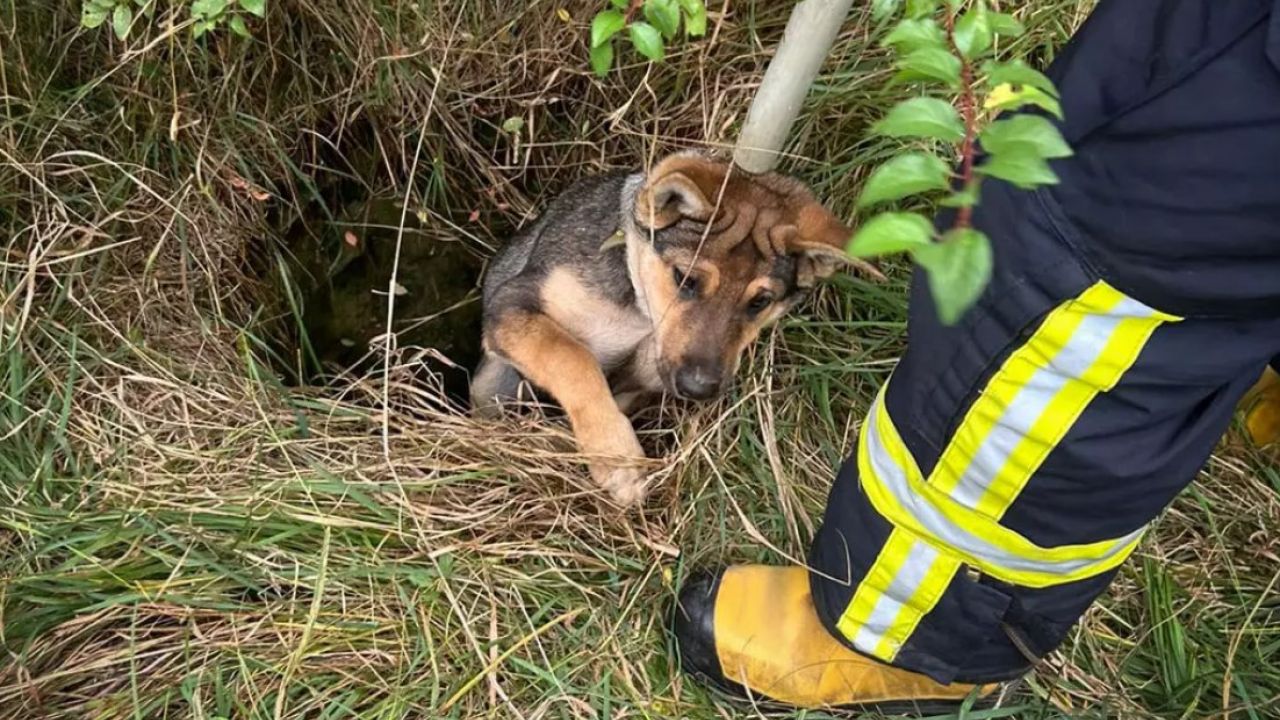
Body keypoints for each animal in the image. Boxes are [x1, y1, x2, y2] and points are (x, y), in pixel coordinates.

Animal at [473, 149, 870, 504]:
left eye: (760, 302)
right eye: (686, 278)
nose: (698, 389)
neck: (638, 309)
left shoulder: (651, 366)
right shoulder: (510, 304)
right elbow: (571, 356)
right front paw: (616, 457)